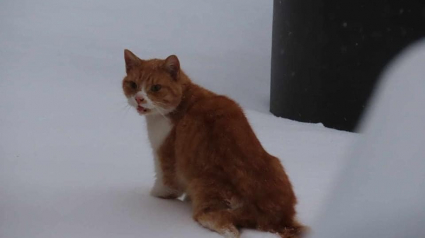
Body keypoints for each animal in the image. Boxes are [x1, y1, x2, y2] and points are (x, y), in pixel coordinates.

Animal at [121, 49, 304, 237]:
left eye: (156, 88)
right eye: (133, 84)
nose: (139, 98)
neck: (183, 101)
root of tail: (278, 220)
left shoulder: (165, 156)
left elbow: (165, 187)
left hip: (203, 185)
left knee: (225, 226)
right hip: (276, 162)